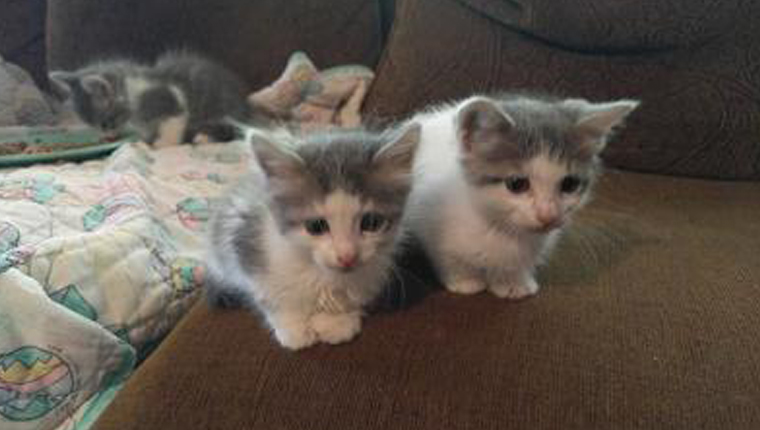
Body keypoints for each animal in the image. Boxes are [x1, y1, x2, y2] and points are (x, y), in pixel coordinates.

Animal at [51, 50, 252, 146]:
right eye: (97, 127)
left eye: (106, 123)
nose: (108, 136)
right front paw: (146, 138)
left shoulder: (171, 99)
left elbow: (172, 124)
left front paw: (162, 144)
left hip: (219, 108)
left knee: (229, 131)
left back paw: (204, 138)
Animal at [205, 123, 422, 350]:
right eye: (316, 226)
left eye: (371, 223)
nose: (347, 256)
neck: (321, 273)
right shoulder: (242, 239)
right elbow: (271, 294)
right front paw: (294, 326)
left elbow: (353, 295)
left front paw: (336, 321)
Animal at [406, 92, 640, 298]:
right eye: (517, 184)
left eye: (570, 184)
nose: (548, 215)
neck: (498, 227)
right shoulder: (428, 221)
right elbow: (448, 257)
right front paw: (465, 280)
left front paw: (513, 282)